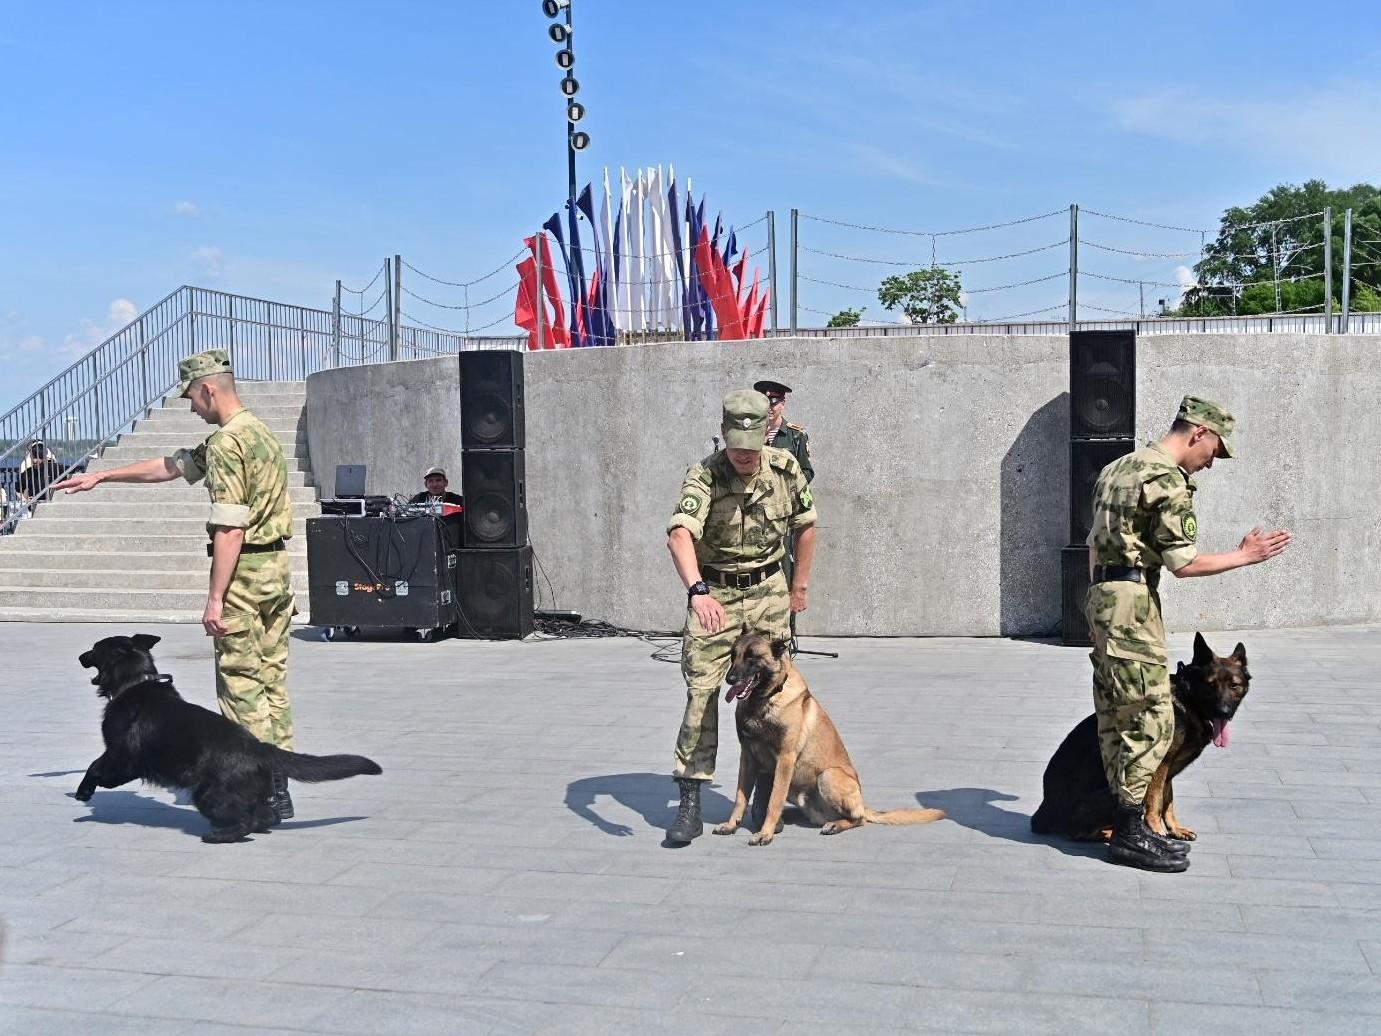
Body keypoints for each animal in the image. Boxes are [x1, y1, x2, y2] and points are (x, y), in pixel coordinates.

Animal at [77, 632, 381, 845]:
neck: (135, 681)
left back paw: (219, 835)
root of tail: (258, 746)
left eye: (94, 649)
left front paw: (84, 791)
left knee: (245, 822)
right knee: (267, 815)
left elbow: (95, 766)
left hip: (207, 793)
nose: (81, 656)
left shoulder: (121, 755)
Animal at [718, 632, 944, 845]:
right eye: (733, 656)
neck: (767, 698)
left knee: (859, 818)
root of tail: (863, 803)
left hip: (828, 775)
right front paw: (731, 825)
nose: (729, 679)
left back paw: (835, 825)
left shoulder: (785, 759)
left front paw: (765, 833)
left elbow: (774, 800)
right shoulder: (747, 757)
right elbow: (740, 797)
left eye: (752, 658)